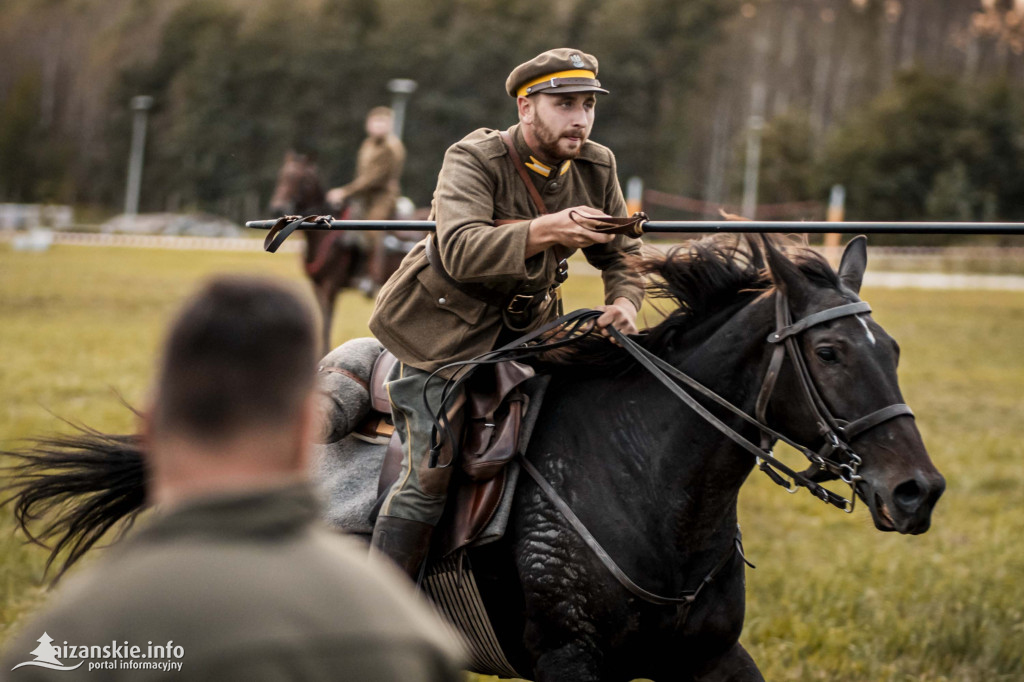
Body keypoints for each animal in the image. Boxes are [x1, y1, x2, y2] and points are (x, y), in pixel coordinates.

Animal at [2, 235, 942, 679]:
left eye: (894, 348)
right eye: (829, 354)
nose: (917, 490)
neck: (646, 488)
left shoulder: (708, 658)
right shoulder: (570, 661)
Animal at [270, 148, 417, 350]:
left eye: (301, 179)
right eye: (282, 176)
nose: (278, 208)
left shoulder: (330, 286)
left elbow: (327, 325)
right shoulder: (318, 287)